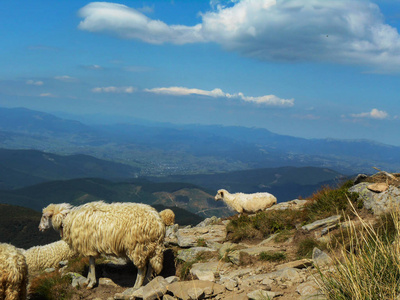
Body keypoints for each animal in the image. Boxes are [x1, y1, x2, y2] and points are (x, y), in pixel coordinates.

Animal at [38, 200, 166, 290]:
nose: (39, 228)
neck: (68, 219)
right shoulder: (90, 246)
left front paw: (91, 283)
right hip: (148, 246)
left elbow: (91, 264)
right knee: (150, 264)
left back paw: (136, 287)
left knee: (142, 268)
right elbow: (91, 263)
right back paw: (147, 282)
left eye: (44, 217)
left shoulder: (88, 246)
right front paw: (87, 281)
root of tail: (159, 224)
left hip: (137, 246)